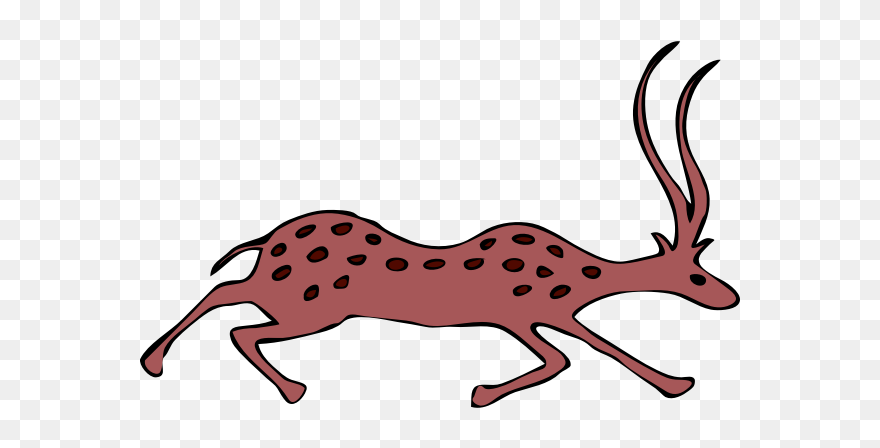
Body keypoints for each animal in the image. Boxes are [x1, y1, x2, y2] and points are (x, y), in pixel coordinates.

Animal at [141, 42, 739, 407]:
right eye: (695, 274)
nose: (729, 298)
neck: (583, 274)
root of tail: (268, 239)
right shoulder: (522, 314)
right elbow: (565, 358)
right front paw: (482, 393)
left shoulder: (550, 315)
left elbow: (590, 349)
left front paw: (675, 384)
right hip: (311, 309)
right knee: (236, 318)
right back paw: (278, 387)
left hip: (288, 296)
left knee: (225, 294)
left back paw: (160, 362)